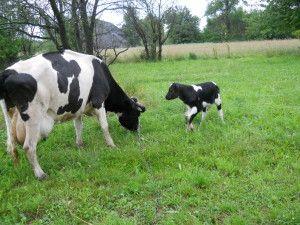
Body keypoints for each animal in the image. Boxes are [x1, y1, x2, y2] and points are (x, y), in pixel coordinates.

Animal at [0, 49, 145, 179]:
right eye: (137, 114)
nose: (137, 130)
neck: (101, 73)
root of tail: (8, 71)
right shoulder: (99, 101)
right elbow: (105, 126)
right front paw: (111, 145)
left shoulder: (78, 108)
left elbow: (79, 127)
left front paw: (80, 145)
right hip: (33, 117)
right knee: (28, 146)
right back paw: (40, 174)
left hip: (9, 116)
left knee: (11, 147)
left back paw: (18, 168)